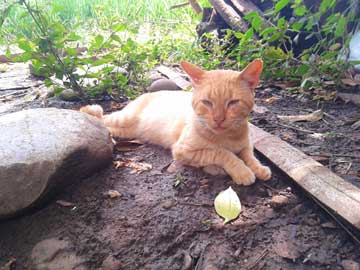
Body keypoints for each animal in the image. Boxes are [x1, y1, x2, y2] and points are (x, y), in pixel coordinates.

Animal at [80, 59, 272, 186]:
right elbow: (222, 153)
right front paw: (241, 171)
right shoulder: (183, 150)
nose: (218, 119)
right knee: (99, 117)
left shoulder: (246, 145)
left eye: (233, 103)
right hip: (124, 118)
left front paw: (258, 168)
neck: (228, 137)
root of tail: (145, 94)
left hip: (127, 131)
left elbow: (249, 155)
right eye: (207, 102)